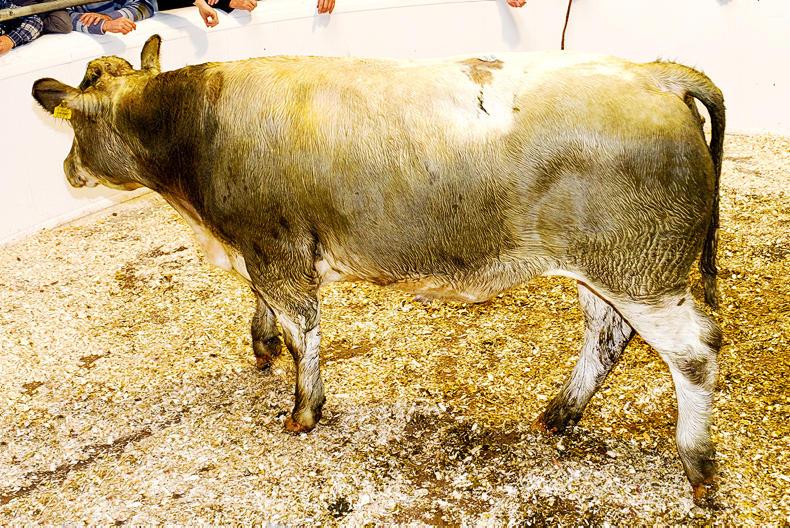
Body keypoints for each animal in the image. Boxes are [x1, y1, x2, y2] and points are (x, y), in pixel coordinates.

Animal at [32, 35, 725, 502]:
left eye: (73, 127)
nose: (66, 169)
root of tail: (654, 74)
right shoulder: (261, 250)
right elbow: (266, 310)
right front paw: (261, 347)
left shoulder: (275, 248)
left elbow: (302, 331)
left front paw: (303, 410)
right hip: (608, 272)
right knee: (606, 336)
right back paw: (559, 413)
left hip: (643, 274)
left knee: (695, 352)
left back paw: (696, 465)